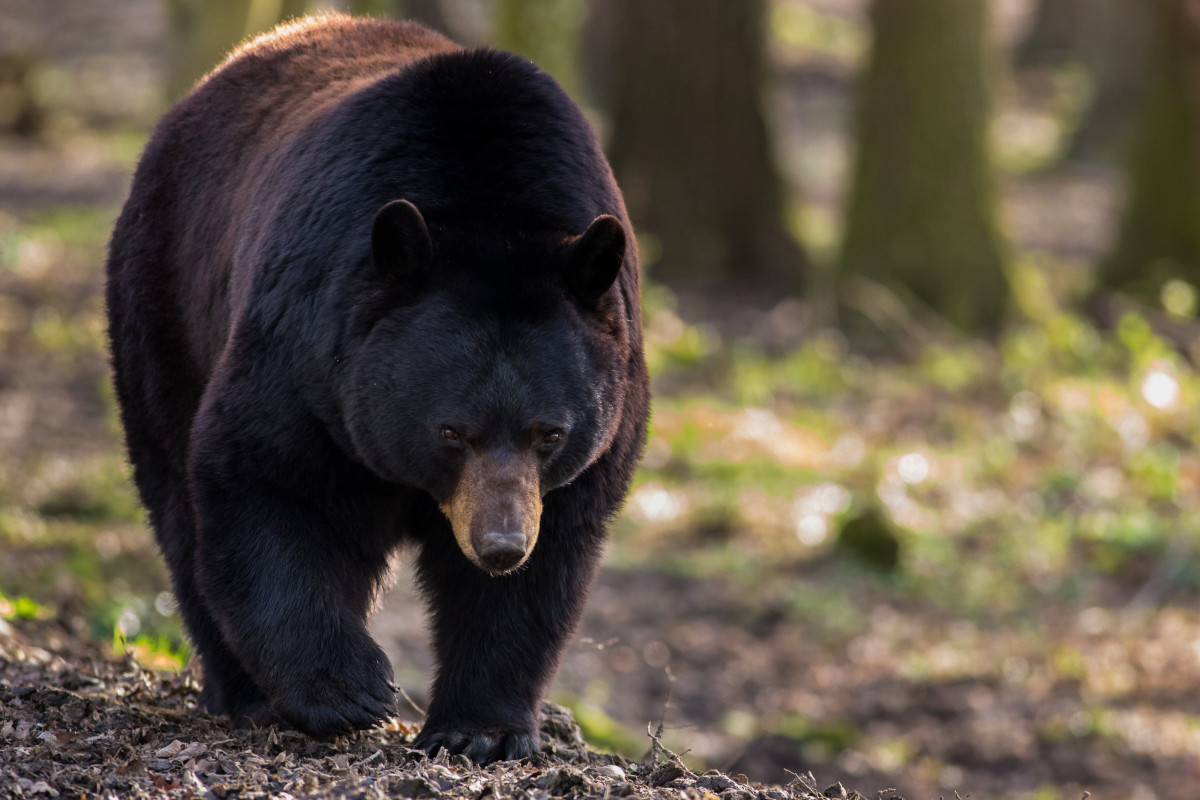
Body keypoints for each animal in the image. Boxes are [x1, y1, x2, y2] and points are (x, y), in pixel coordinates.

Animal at [105, 14, 648, 762]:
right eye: (451, 429)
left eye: (550, 433)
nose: (500, 544)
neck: (491, 212)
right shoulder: (310, 359)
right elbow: (270, 484)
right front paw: (348, 690)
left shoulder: (597, 425)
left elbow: (541, 572)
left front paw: (479, 729)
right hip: (168, 296)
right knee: (177, 494)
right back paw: (243, 691)